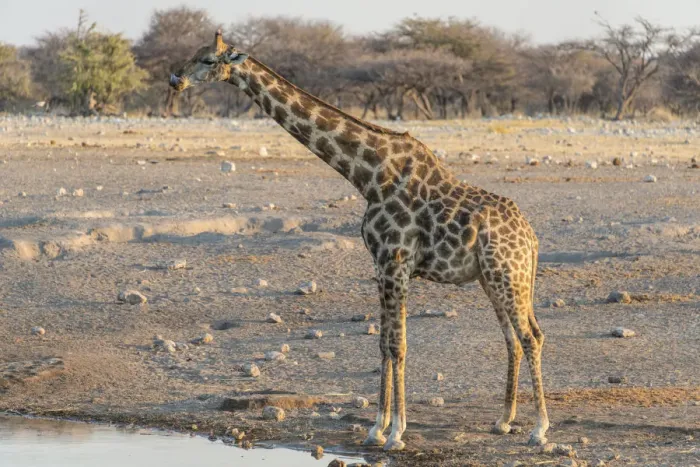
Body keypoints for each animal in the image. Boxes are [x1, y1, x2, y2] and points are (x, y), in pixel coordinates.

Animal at [170, 31, 550, 450]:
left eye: (207, 60)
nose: (175, 80)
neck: (368, 175)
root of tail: (531, 239)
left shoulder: (395, 262)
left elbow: (398, 345)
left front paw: (397, 432)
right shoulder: (380, 266)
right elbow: (383, 344)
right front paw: (376, 428)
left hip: (506, 276)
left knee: (531, 336)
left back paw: (539, 429)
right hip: (494, 279)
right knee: (513, 338)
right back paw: (504, 420)